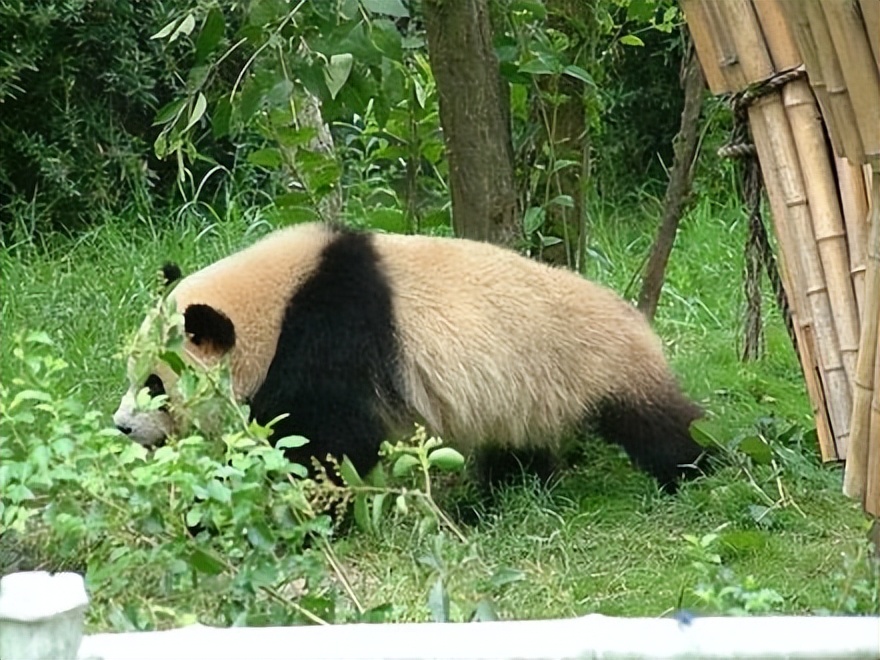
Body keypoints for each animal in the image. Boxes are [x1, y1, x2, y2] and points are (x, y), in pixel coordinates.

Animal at [113, 224, 708, 492]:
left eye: (155, 384)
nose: (121, 426)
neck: (277, 302)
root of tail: (635, 316)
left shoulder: (333, 336)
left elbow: (324, 443)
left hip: (595, 364)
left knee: (662, 426)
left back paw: (701, 472)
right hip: (526, 396)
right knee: (518, 447)